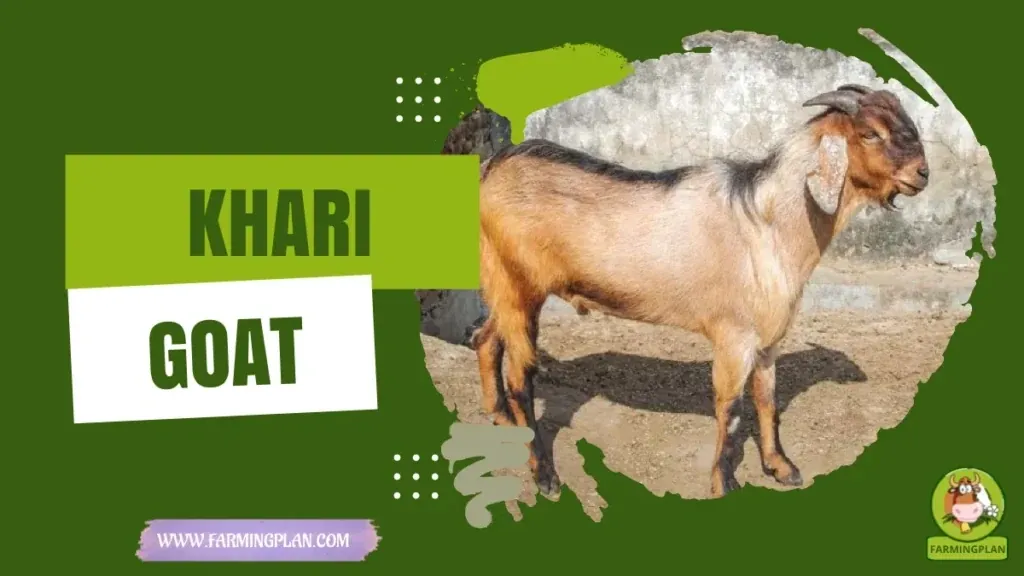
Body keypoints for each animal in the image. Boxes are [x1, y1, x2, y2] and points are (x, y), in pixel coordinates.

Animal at [471, 84, 930, 498]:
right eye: (870, 133)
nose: (922, 173)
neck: (767, 223)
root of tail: (495, 165)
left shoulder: (769, 339)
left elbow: (767, 400)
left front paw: (781, 467)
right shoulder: (733, 336)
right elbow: (731, 408)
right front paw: (724, 483)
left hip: (503, 283)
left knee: (484, 338)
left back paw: (502, 420)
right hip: (520, 284)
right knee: (520, 376)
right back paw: (545, 475)